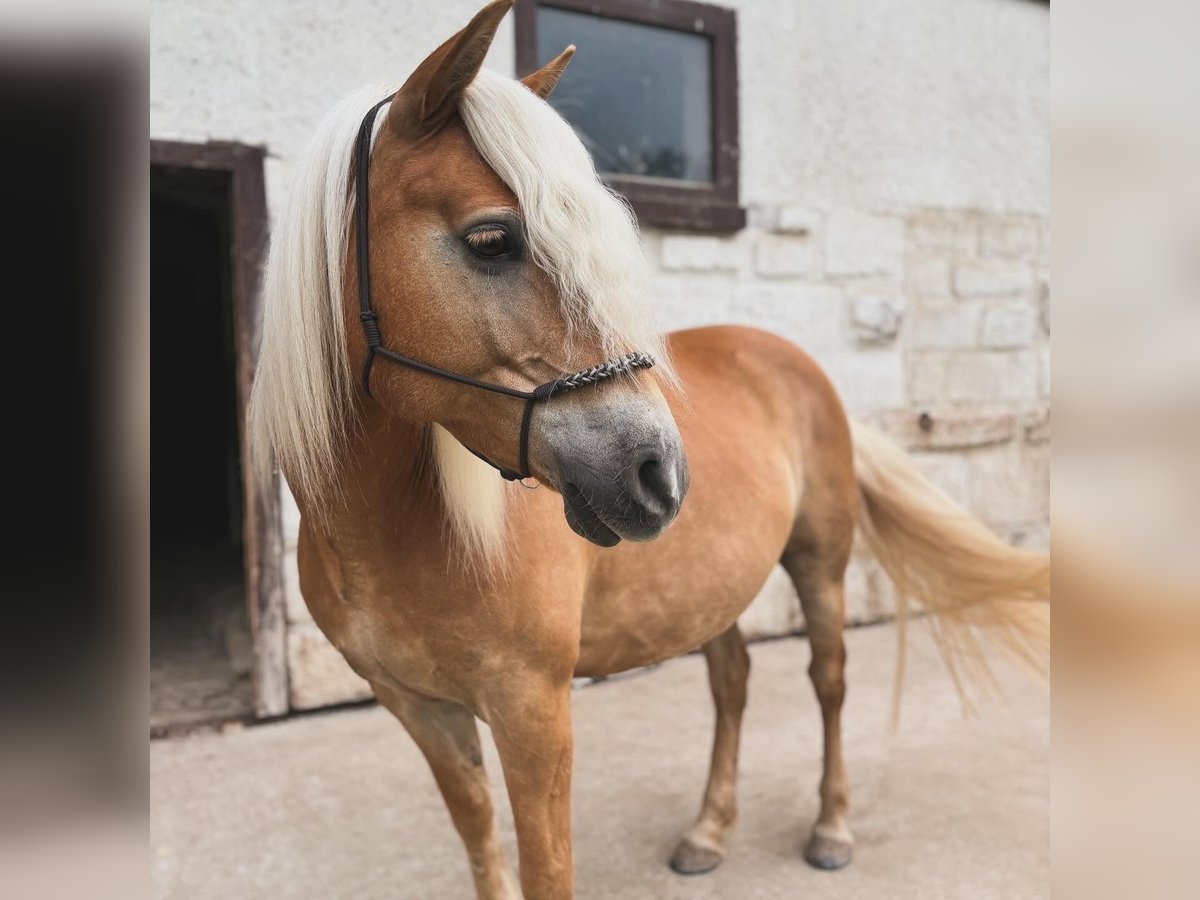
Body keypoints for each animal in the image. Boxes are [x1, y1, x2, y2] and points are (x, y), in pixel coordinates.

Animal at [246, 3, 1051, 897]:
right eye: (491, 239)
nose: (657, 472)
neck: (399, 535)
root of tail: (794, 361)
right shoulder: (425, 714)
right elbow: (482, 843)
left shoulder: (533, 713)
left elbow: (546, 868)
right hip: (707, 588)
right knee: (732, 681)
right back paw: (708, 832)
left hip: (820, 564)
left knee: (829, 680)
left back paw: (831, 827)